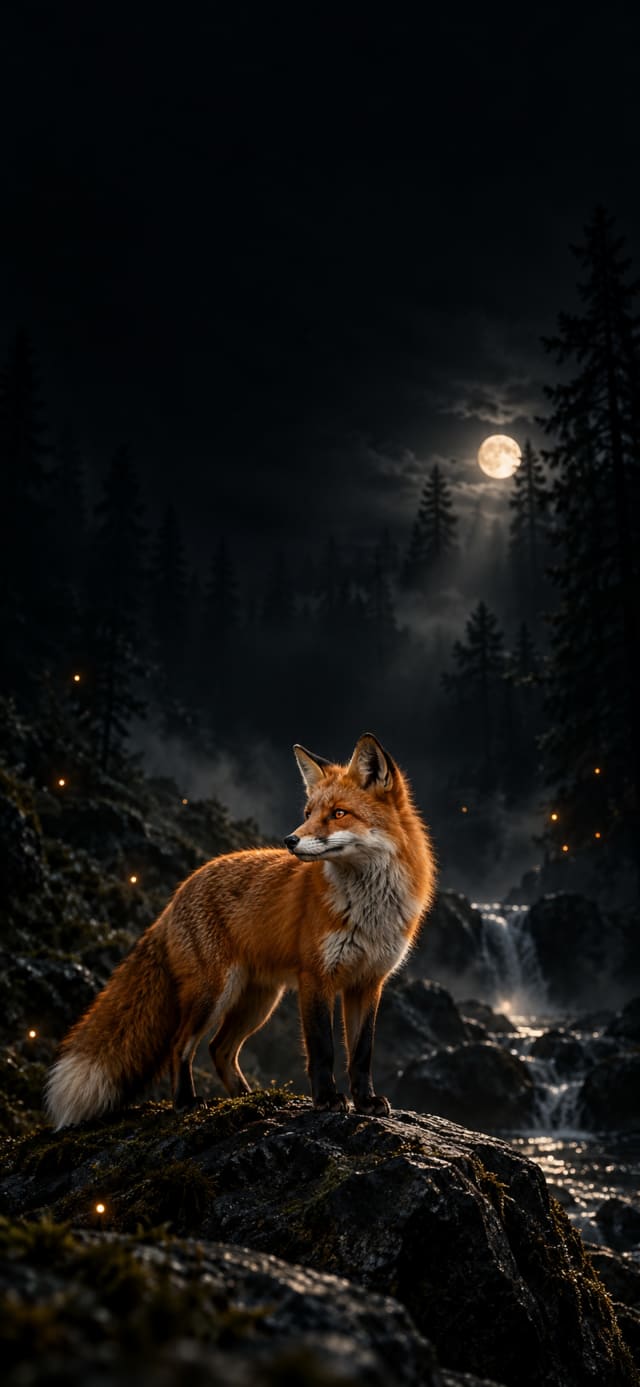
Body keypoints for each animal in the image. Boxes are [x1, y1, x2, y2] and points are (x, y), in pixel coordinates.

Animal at [45, 733, 436, 1128]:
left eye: (339, 813)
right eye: (308, 814)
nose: (290, 840)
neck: (368, 909)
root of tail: (178, 894)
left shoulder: (368, 982)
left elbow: (361, 1054)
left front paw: (366, 1101)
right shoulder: (316, 976)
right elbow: (322, 1049)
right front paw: (326, 1099)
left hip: (258, 1001)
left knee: (219, 1048)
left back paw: (249, 1098)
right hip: (214, 993)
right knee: (181, 1044)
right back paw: (187, 1102)